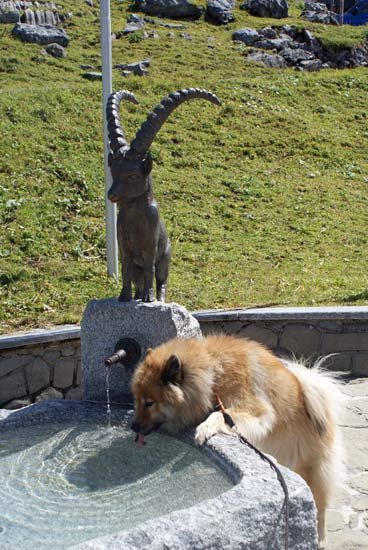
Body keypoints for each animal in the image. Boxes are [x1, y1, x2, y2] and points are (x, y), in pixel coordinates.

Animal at [131, 334, 344, 548]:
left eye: (149, 403)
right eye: (137, 400)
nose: (132, 426)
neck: (214, 375)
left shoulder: (254, 409)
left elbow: (219, 414)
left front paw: (203, 430)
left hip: (313, 471)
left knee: (320, 509)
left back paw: (321, 539)